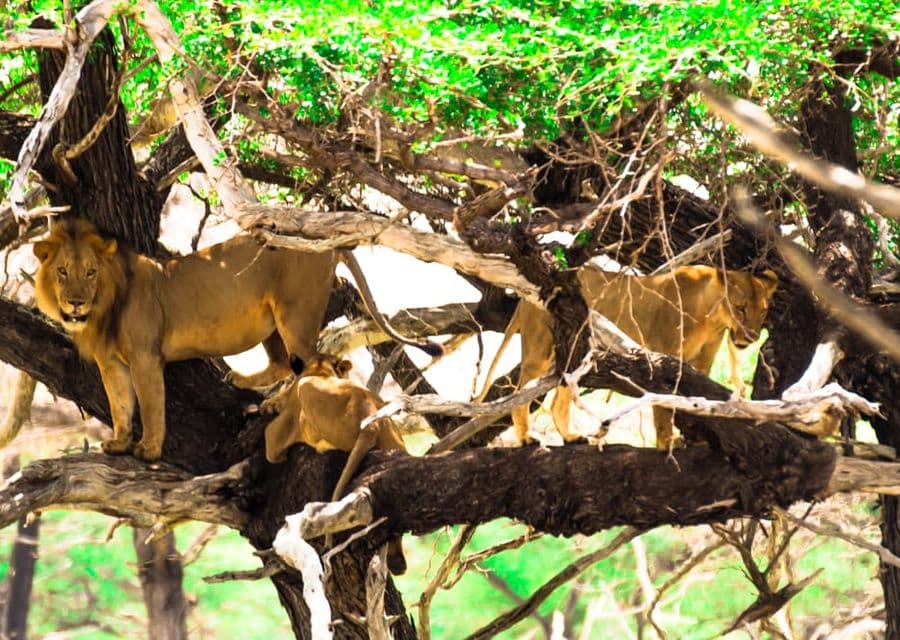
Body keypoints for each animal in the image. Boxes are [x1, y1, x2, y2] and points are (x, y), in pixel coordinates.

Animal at [33, 218, 439, 462]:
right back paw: (246, 382)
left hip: (295, 313)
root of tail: (325, 244)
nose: (75, 302)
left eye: (90, 272)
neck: (104, 306)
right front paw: (119, 442)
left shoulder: (145, 356)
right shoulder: (111, 362)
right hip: (273, 322)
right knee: (284, 363)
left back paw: (276, 403)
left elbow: (149, 405)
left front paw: (148, 448)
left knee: (312, 363)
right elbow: (119, 404)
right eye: (62, 271)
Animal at [263, 353, 407, 574]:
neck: (319, 369)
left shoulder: (278, 431)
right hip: (395, 440)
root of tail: (371, 424)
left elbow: (270, 442)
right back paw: (398, 562)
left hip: (308, 392)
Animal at [482, 265, 777, 449]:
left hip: (572, 355)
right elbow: (664, 406)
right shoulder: (663, 359)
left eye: (763, 310)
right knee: (519, 393)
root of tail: (524, 297)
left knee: (557, 401)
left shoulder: (702, 364)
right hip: (539, 350)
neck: (710, 318)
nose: (751, 336)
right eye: (740, 308)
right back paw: (526, 438)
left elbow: (693, 402)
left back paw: (571, 436)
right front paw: (667, 444)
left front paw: (696, 437)